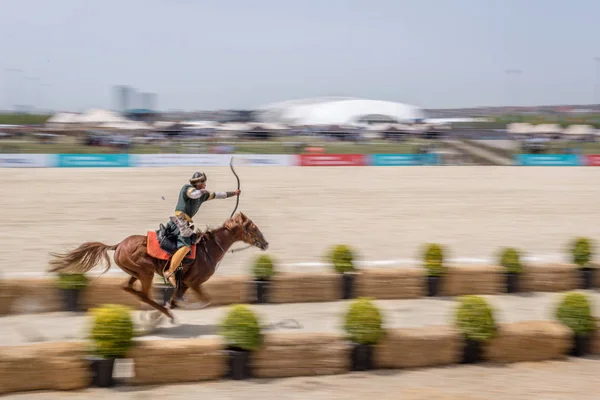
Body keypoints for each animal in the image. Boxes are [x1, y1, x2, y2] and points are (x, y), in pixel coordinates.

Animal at [48, 212, 268, 322]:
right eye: (253, 228)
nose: (265, 243)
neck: (209, 249)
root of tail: (118, 245)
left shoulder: (183, 284)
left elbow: (174, 299)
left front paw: (158, 315)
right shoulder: (193, 283)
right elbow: (204, 300)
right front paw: (181, 309)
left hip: (136, 273)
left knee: (128, 288)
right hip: (146, 273)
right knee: (144, 295)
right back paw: (162, 314)